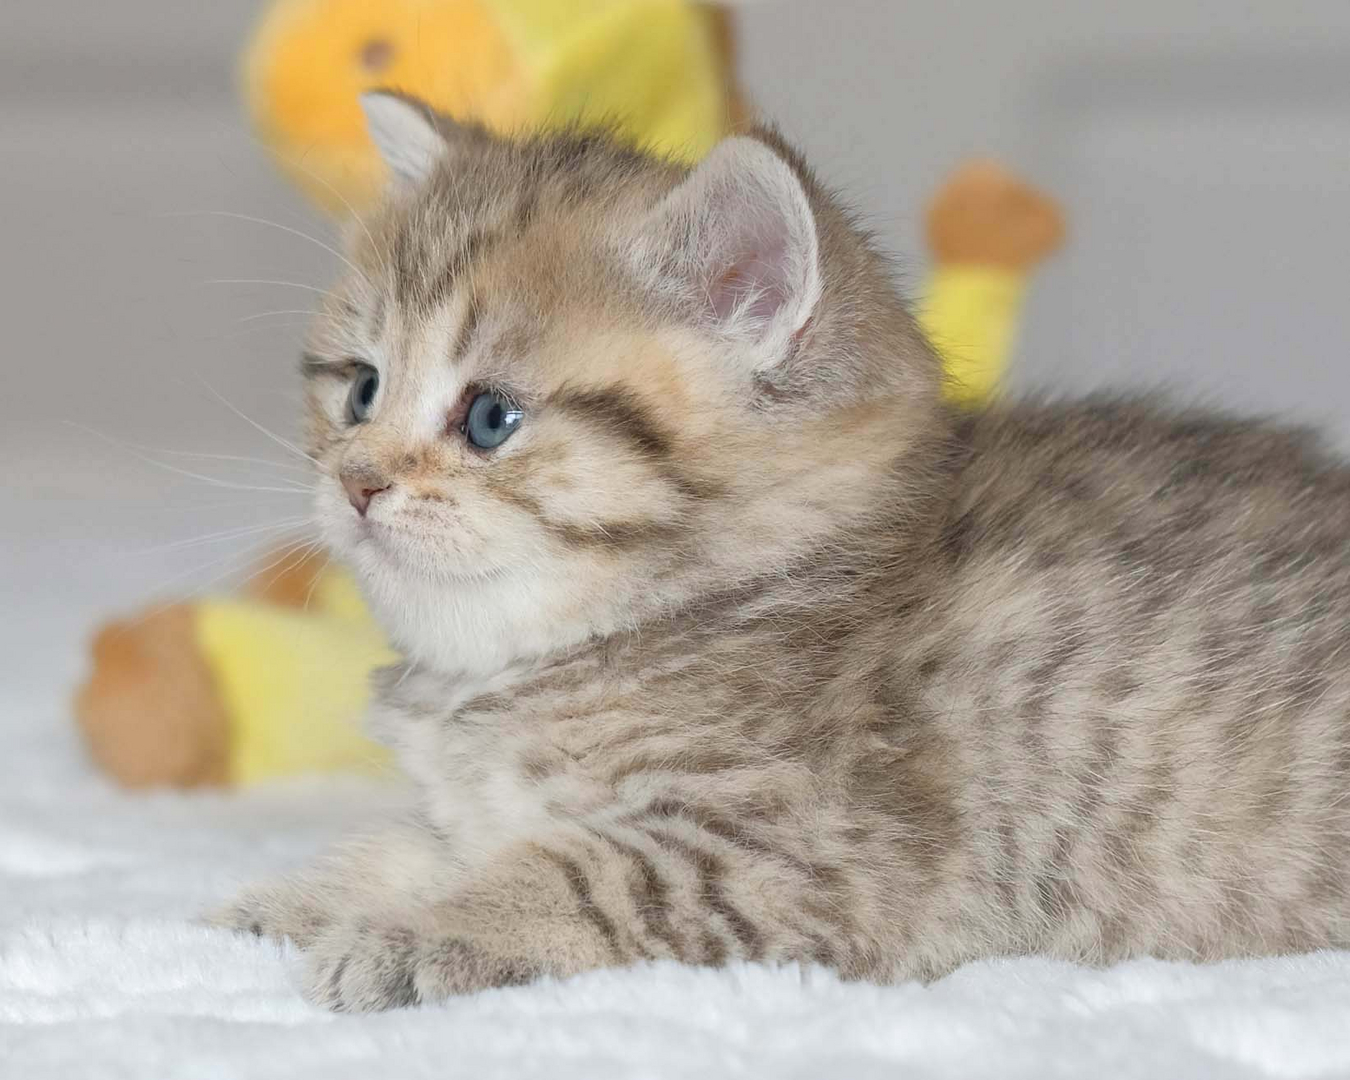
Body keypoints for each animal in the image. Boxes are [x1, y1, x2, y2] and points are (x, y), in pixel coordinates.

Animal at [213, 93, 1350, 1015]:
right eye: (361, 390)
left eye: (490, 418)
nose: (355, 482)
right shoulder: (479, 806)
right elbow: (419, 840)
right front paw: (288, 901)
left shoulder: (811, 853)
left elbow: (571, 871)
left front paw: (403, 937)